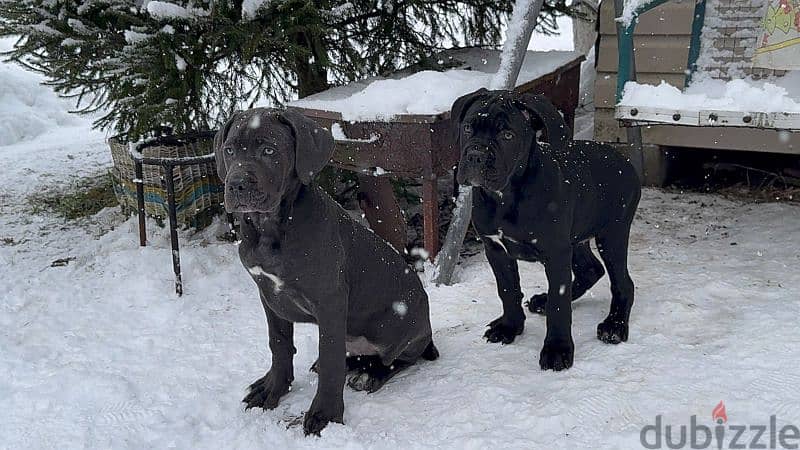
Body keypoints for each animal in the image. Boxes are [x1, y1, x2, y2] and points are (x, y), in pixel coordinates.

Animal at [212, 107, 438, 434]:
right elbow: (279, 345)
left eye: (269, 150)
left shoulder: (330, 301)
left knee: (398, 357)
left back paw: (371, 374)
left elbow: (331, 358)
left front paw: (326, 415)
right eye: (229, 151)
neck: (270, 230)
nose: (237, 184)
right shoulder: (268, 296)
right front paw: (273, 389)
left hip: (395, 325)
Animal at [454, 89, 640, 372]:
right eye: (467, 128)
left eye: (507, 136)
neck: (506, 197)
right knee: (591, 269)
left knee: (622, 282)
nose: (475, 155)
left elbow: (559, 303)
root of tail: (623, 159)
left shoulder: (555, 253)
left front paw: (557, 350)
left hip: (612, 234)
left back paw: (615, 325)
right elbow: (507, 290)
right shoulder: (496, 249)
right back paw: (543, 301)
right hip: (576, 238)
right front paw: (509, 327)